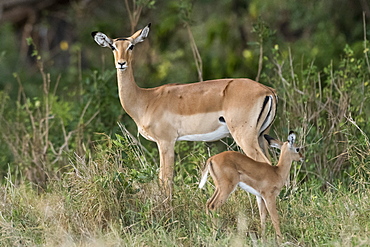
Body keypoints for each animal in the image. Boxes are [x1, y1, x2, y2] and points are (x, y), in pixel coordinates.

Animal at [91, 23, 278, 197]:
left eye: (131, 46)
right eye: (113, 46)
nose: (121, 63)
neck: (146, 99)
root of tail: (268, 91)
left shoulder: (166, 141)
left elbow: (165, 179)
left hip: (245, 137)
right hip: (261, 136)